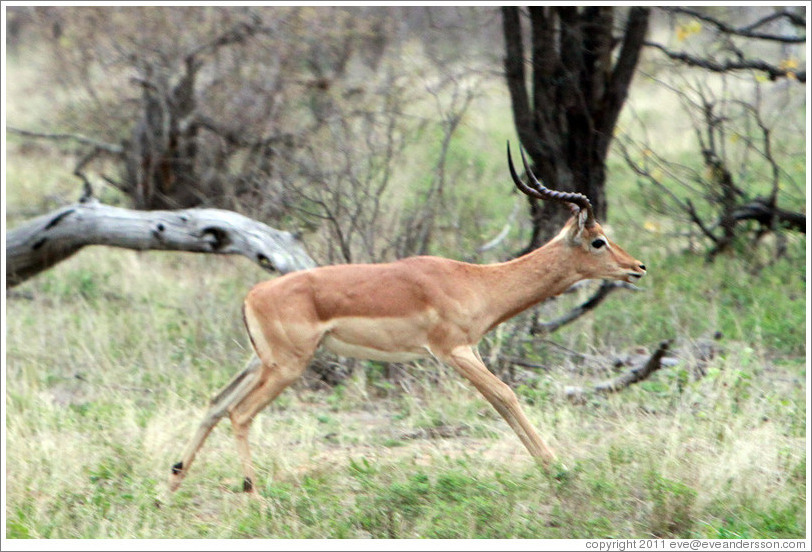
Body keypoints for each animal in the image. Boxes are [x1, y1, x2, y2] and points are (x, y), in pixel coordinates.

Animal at [168, 143, 646, 493]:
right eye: (598, 240)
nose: (638, 267)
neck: (476, 281)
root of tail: (253, 295)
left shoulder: (465, 352)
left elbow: (499, 402)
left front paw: (551, 467)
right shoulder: (453, 351)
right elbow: (507, 396)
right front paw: (557, 467)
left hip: (260, 362)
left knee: (216, 403)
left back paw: (173, 482)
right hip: (287, 367)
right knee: (240, 413)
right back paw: (252, 490)